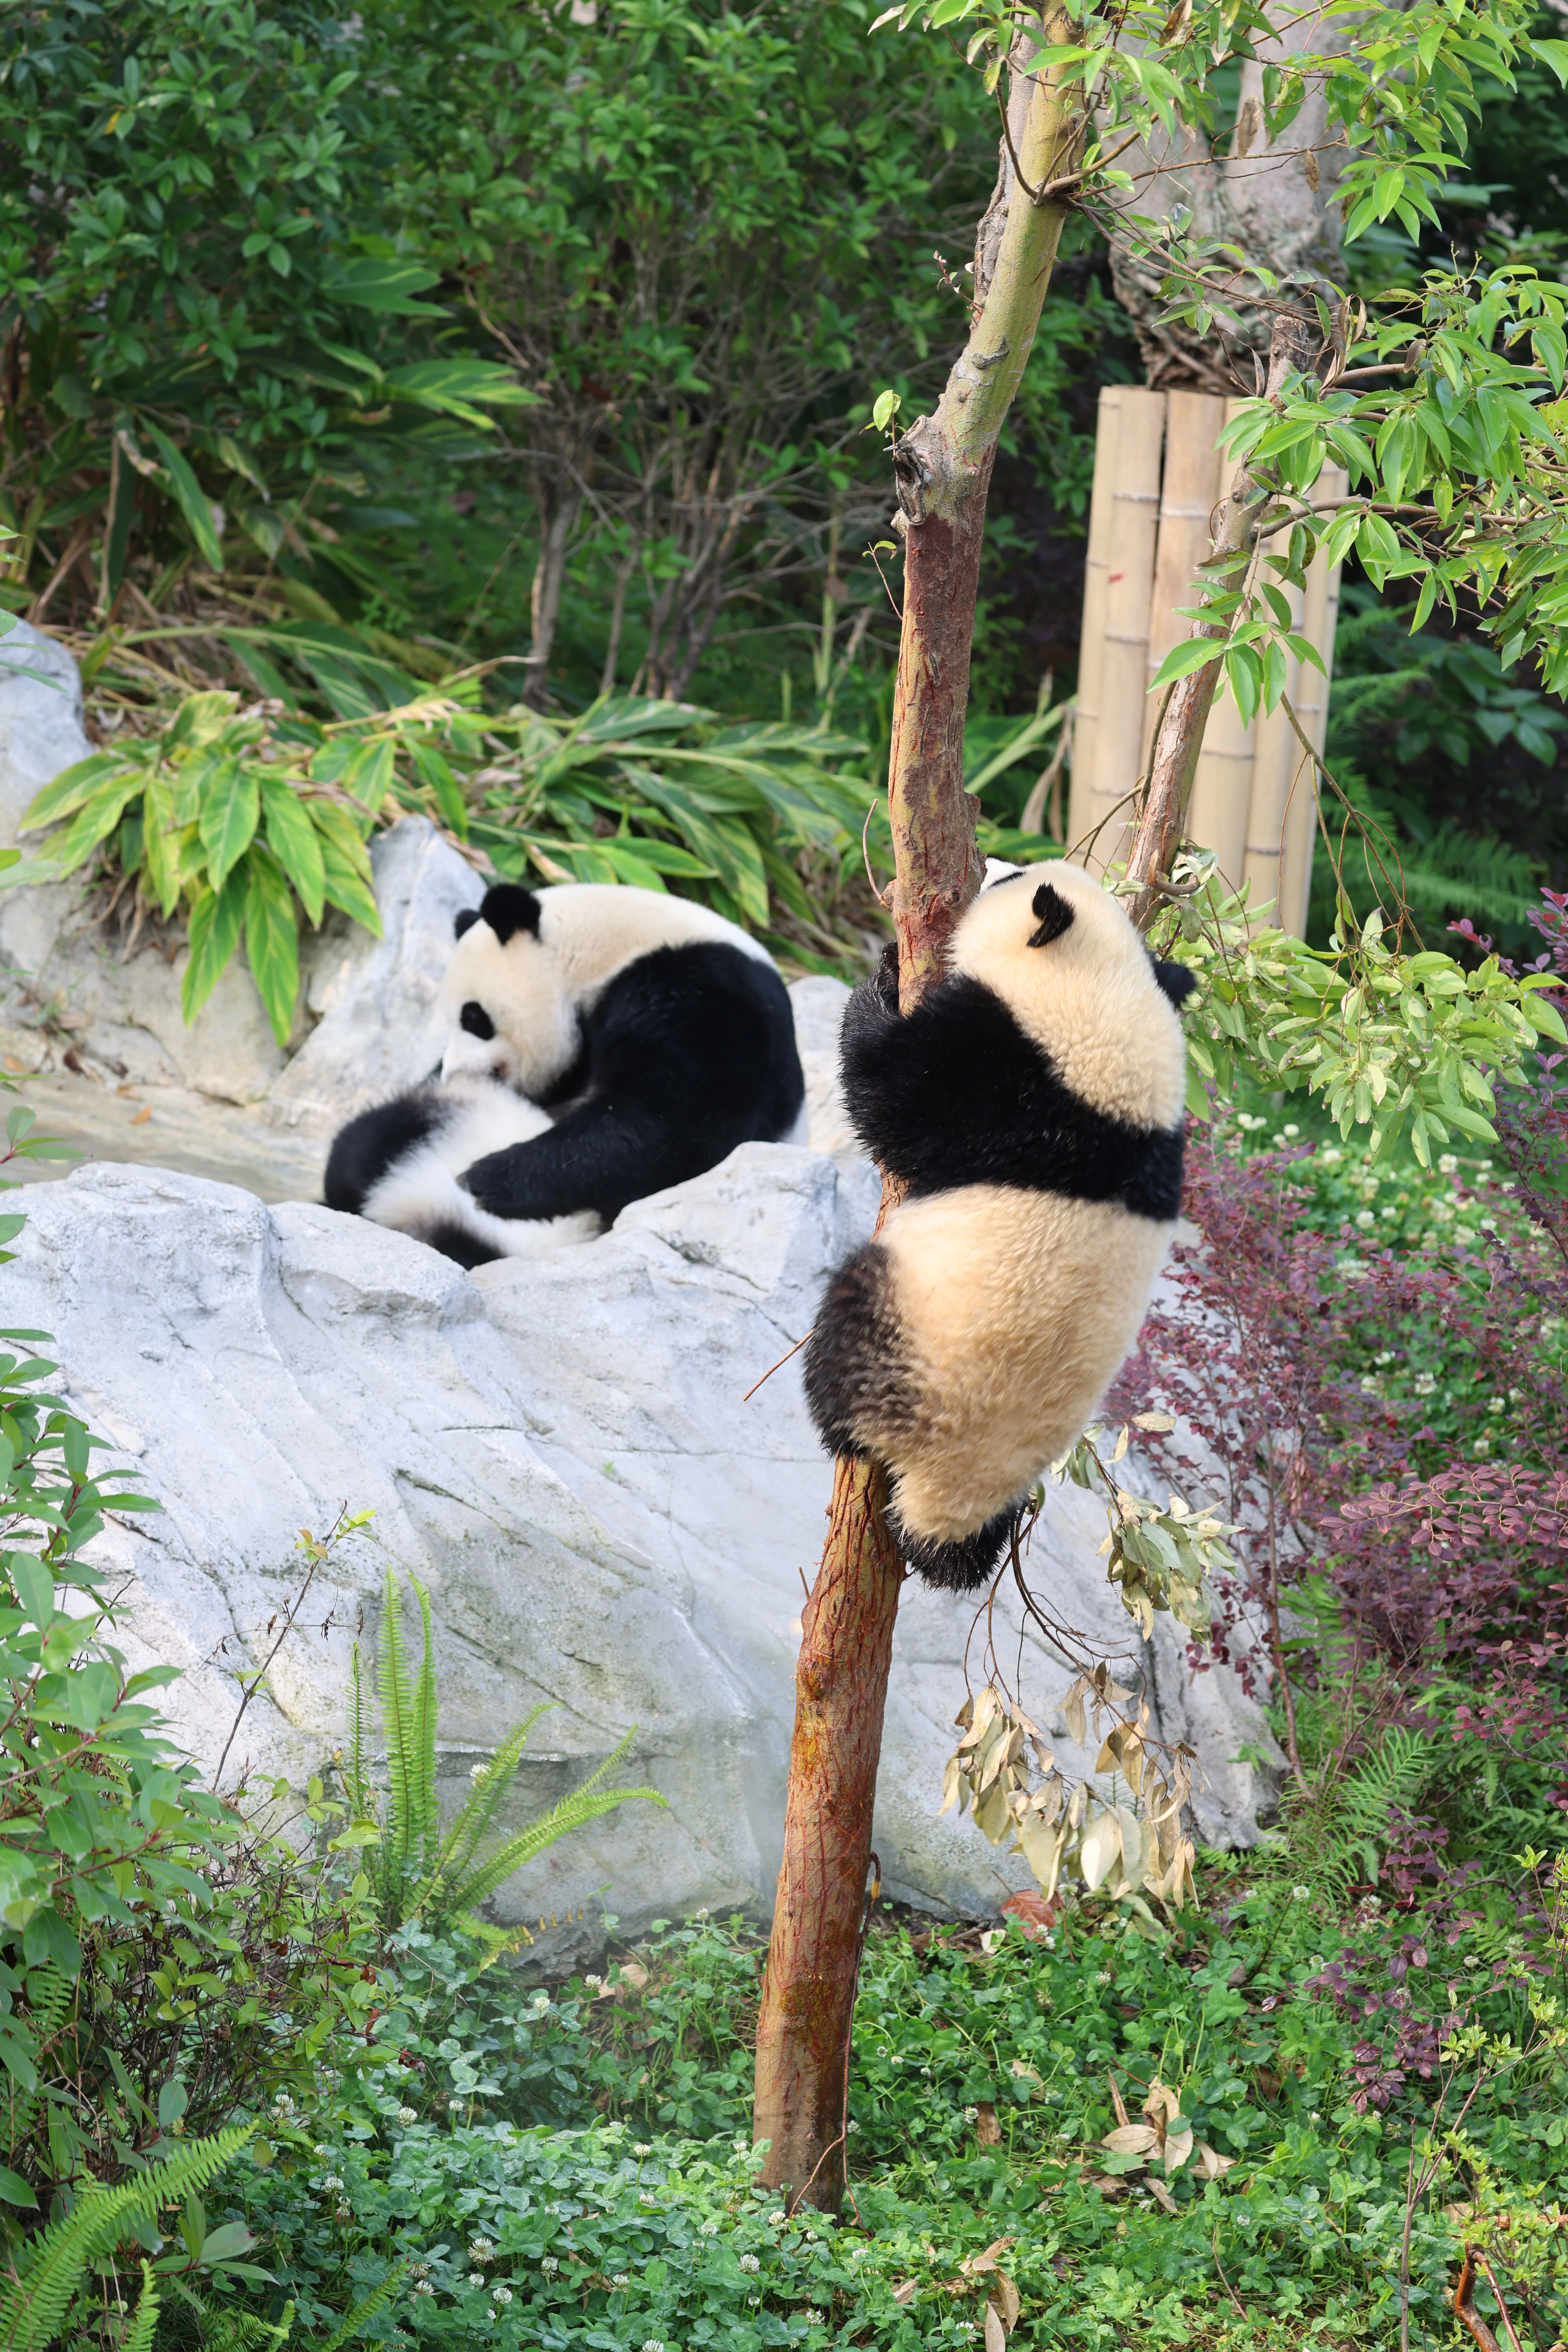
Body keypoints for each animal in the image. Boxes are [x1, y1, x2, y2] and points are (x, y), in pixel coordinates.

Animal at [801, 859, 1195, 1591]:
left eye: (1013, 879)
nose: (992, 864)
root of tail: (948, 1500)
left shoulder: (1009, 1078)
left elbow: (891, 1101)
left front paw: (884, 976)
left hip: (905, 1338)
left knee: (847, 1332)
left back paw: (839, 1429)